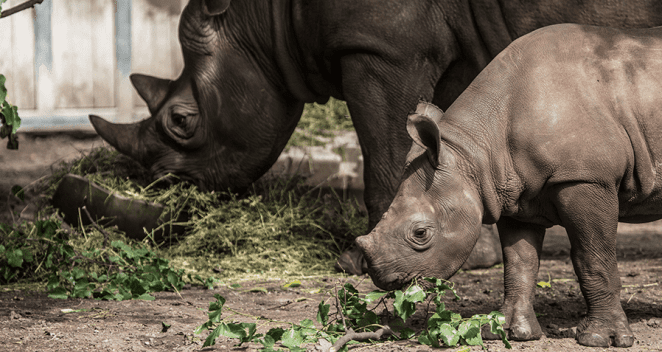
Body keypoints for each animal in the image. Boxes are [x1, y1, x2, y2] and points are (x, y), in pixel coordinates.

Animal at [88, 0, 662, 276]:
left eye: (181, 122)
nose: (160, 185)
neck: (263, 23)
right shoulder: (449, 46)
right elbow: (432, 145)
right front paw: (474, 253)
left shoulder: (381, 47)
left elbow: (387, 149)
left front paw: (358, 262)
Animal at [358, 23, 662, 348]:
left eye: (420, 233)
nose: (384, 278)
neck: (474, 150)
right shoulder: (513, 192)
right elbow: (519, 263)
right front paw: (510, 332)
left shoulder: (586, 177)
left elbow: (594, 257)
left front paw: (599, 339)